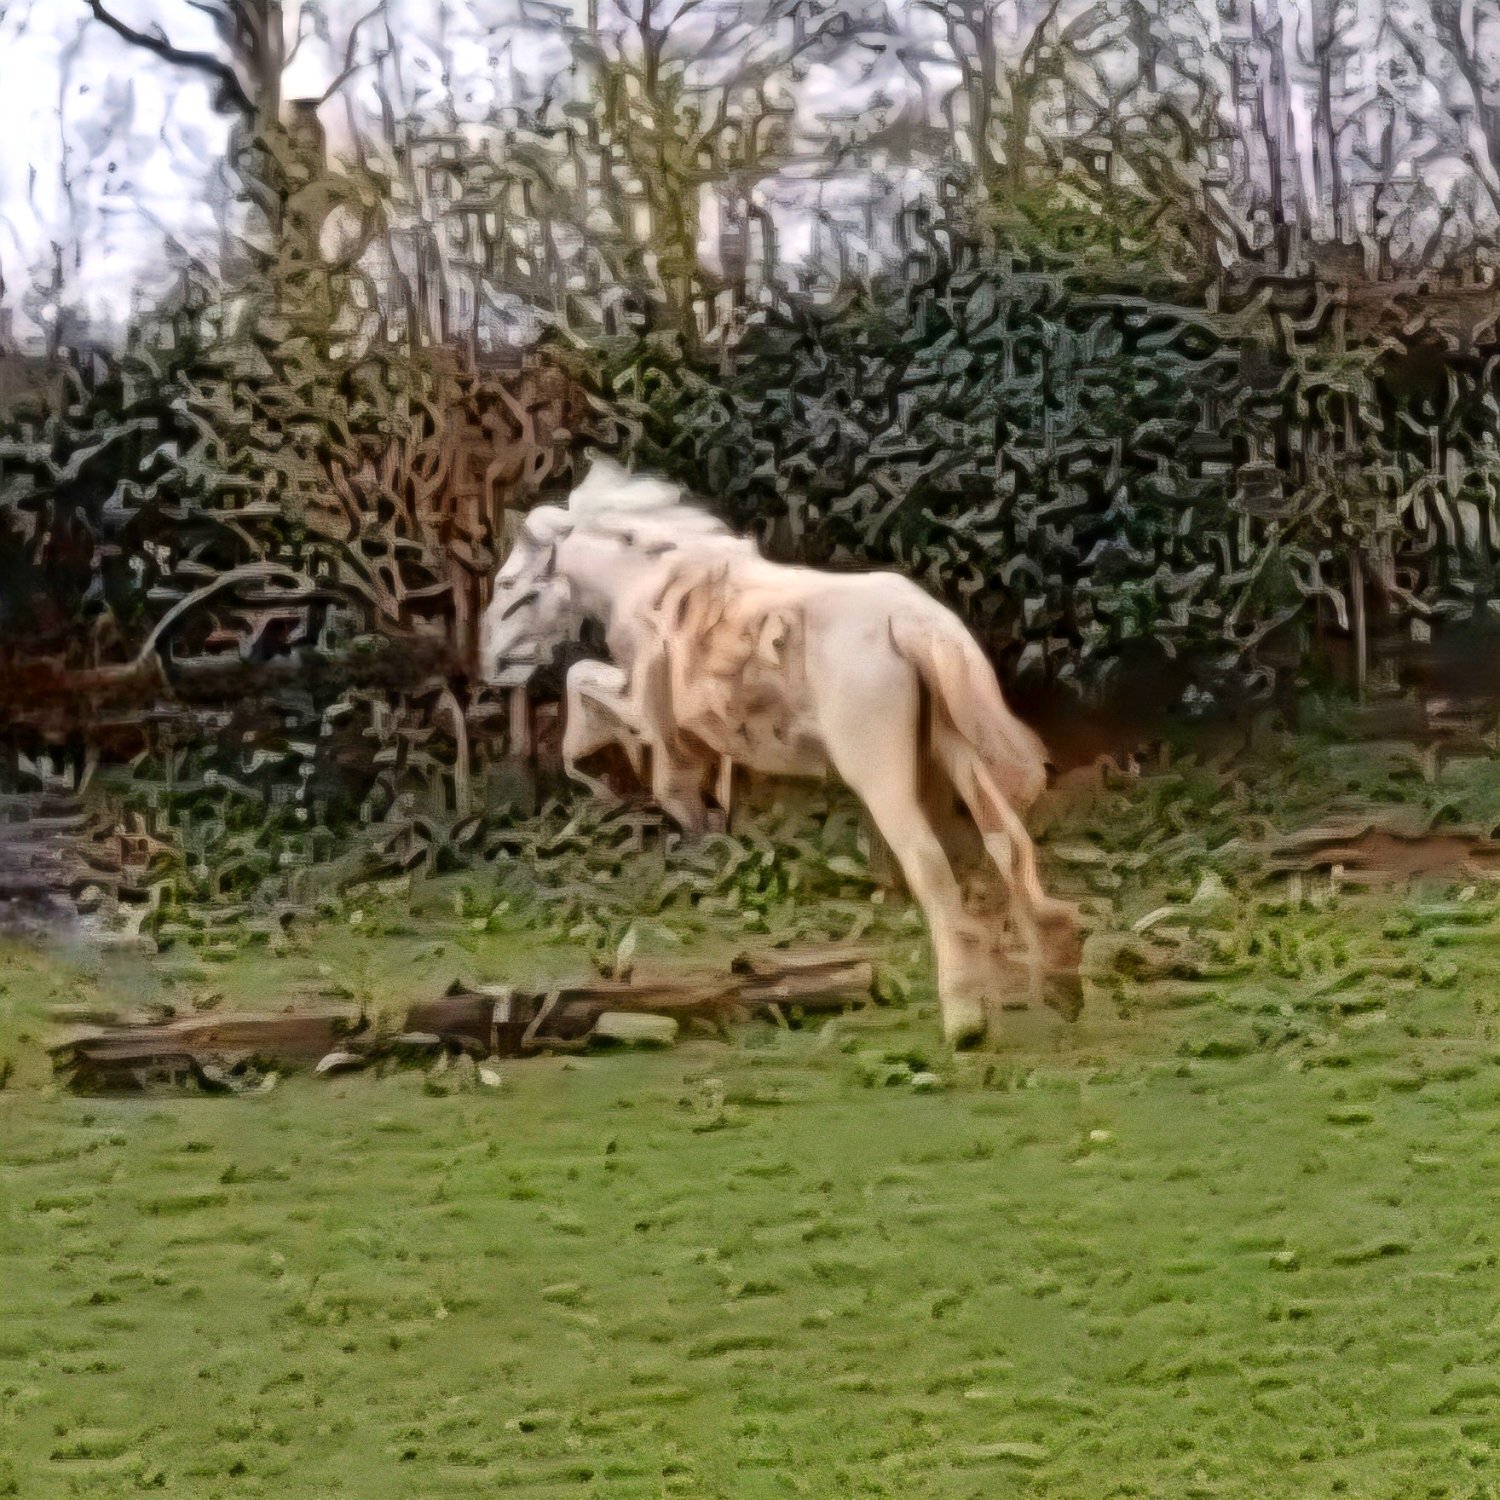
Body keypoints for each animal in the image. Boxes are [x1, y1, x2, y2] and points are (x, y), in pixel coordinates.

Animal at [481, 457, 1084, 1046]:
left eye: (509, 583)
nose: (490, 664)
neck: (647, 583)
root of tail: (910, 623)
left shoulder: (651, 703)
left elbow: (588, 692)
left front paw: (603, 773)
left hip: (879, 773)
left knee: (930, 867)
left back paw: (964, 1021)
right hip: (954, 748)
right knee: (1009, 843)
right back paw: (1060, 979)